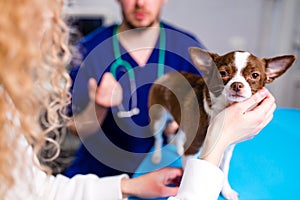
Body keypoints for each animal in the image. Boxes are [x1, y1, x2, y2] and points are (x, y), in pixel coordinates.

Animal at [148, 47, 296, 200]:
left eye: (255, 75)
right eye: (223, 73)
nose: (237, 84)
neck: (222, 109)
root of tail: (167, 75)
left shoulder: (226, 149)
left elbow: (223, 171)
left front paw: (226, 190)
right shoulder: (193, 149)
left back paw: (178, 148)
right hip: (158, 118)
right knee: (158, 138)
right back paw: (157, 156)